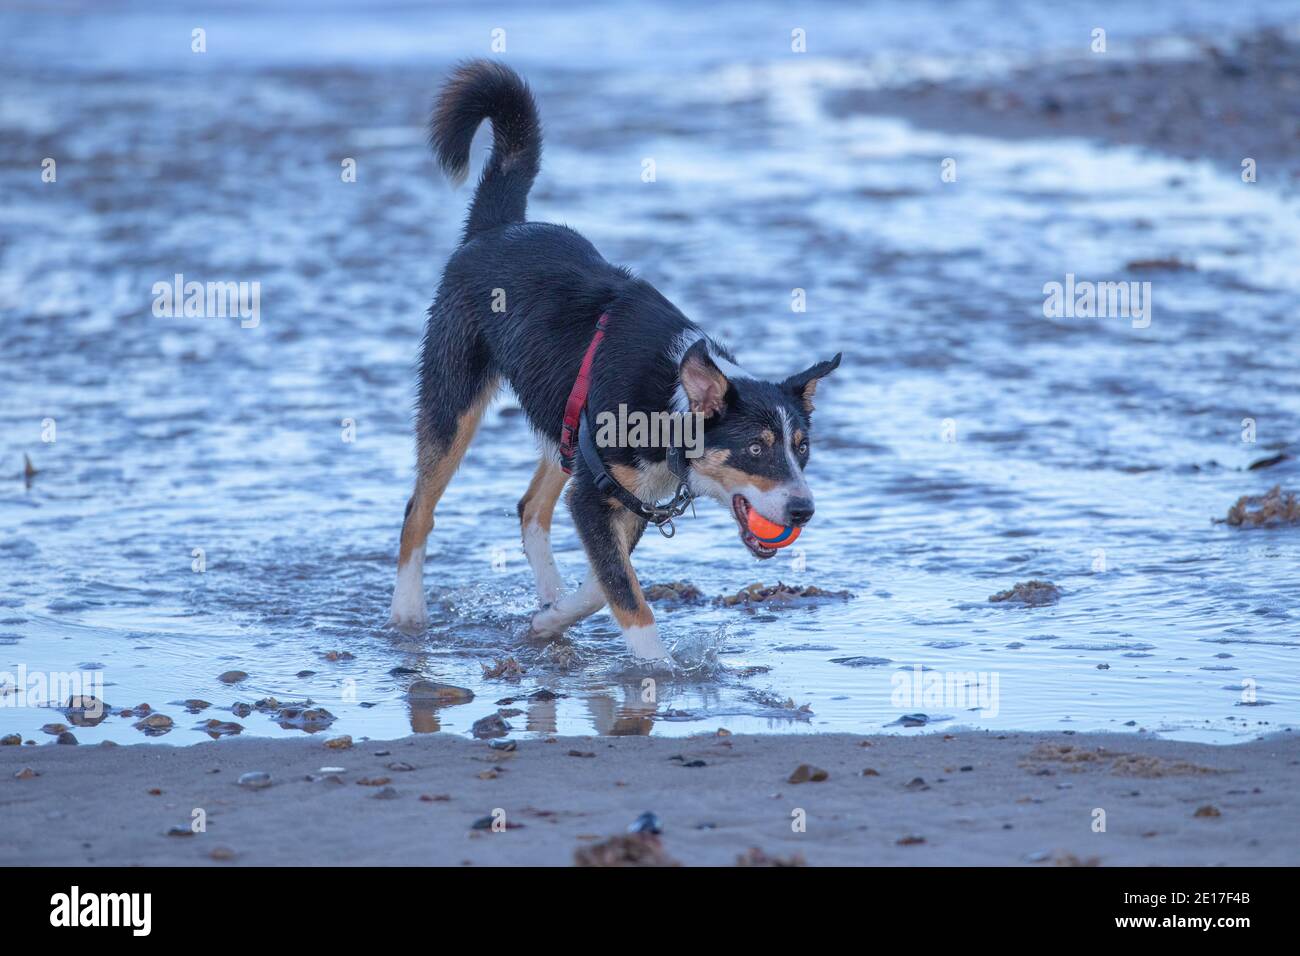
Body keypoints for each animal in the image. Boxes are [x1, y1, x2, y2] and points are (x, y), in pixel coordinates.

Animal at [389, 60, 840, 659]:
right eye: (755, 448)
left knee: (530, 508)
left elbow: (605, 581)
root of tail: (497, 227)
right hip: (454, 404)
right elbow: (625, 592)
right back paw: (407, 613)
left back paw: (547, 599)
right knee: (419, 511)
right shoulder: (594, 492)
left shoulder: (624, 495)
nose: (802, 511)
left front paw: (550, 621)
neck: (670, 400)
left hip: (564, 429)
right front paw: (657, 668)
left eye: (803, 448)